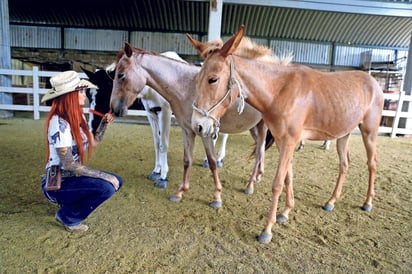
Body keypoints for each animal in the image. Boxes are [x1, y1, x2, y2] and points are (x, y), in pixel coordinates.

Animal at [111, 41, 268, 207]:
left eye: (121, 75)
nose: (114, 108)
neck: (186, 88)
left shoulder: (202, 130)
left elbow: (211, 161)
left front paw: (217, 196)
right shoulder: (185, 129)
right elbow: (186, 159)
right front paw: (179, 191)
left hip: (263, 126)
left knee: (259, 152)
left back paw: (250, 184)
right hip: (254, 127)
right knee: (261, 149)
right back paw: (258, 176)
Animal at [188, 25, 384, 244]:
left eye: (213, 79)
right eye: (197, 79)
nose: (198, 126)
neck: (280, 90)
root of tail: (373, 81)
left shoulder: (290, 141)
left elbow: (277, 183)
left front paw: (267, 230)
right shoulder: (284, 142)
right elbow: (288, 177)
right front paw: (286, 212)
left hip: (369, 131)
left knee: (372, 163)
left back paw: (367, 203)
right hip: (343, 134)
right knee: (344, 164)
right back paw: (331, 201)